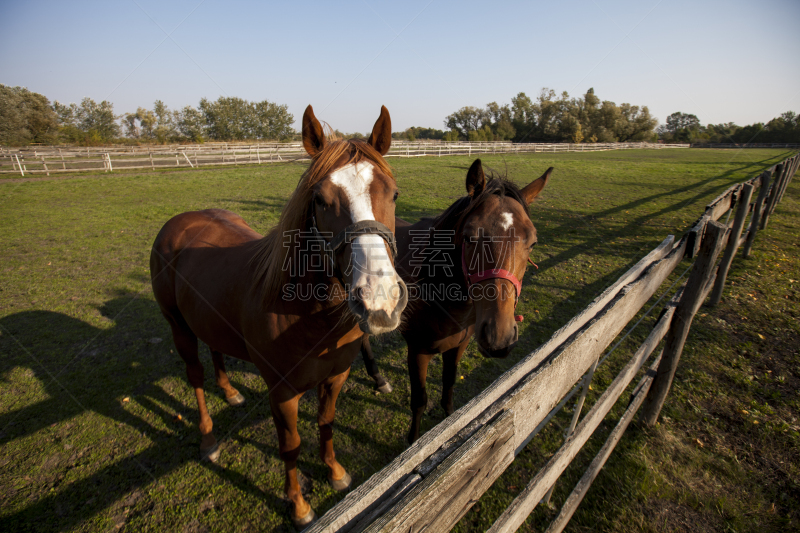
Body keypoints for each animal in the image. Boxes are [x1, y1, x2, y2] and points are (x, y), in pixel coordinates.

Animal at [151, 106, 410, 524]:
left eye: (394, 193)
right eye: (320, 199)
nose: (379, 299)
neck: (310, 317)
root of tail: (178, 222)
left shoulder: (336, 376)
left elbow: (326, 423)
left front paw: (335, 473)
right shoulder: (282, 393)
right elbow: (291, 445)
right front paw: (299, 505)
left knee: (216, 350)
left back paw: (230, 392)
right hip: (178, 328)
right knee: (195, 377)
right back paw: (208, 440)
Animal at [360, 160, 552, 442]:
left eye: (533, 242)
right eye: (470, 237)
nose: (499, 337)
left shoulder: (458, 347)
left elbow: (448, 388)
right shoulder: (417, 352)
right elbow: (419, 401)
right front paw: (414, 442)